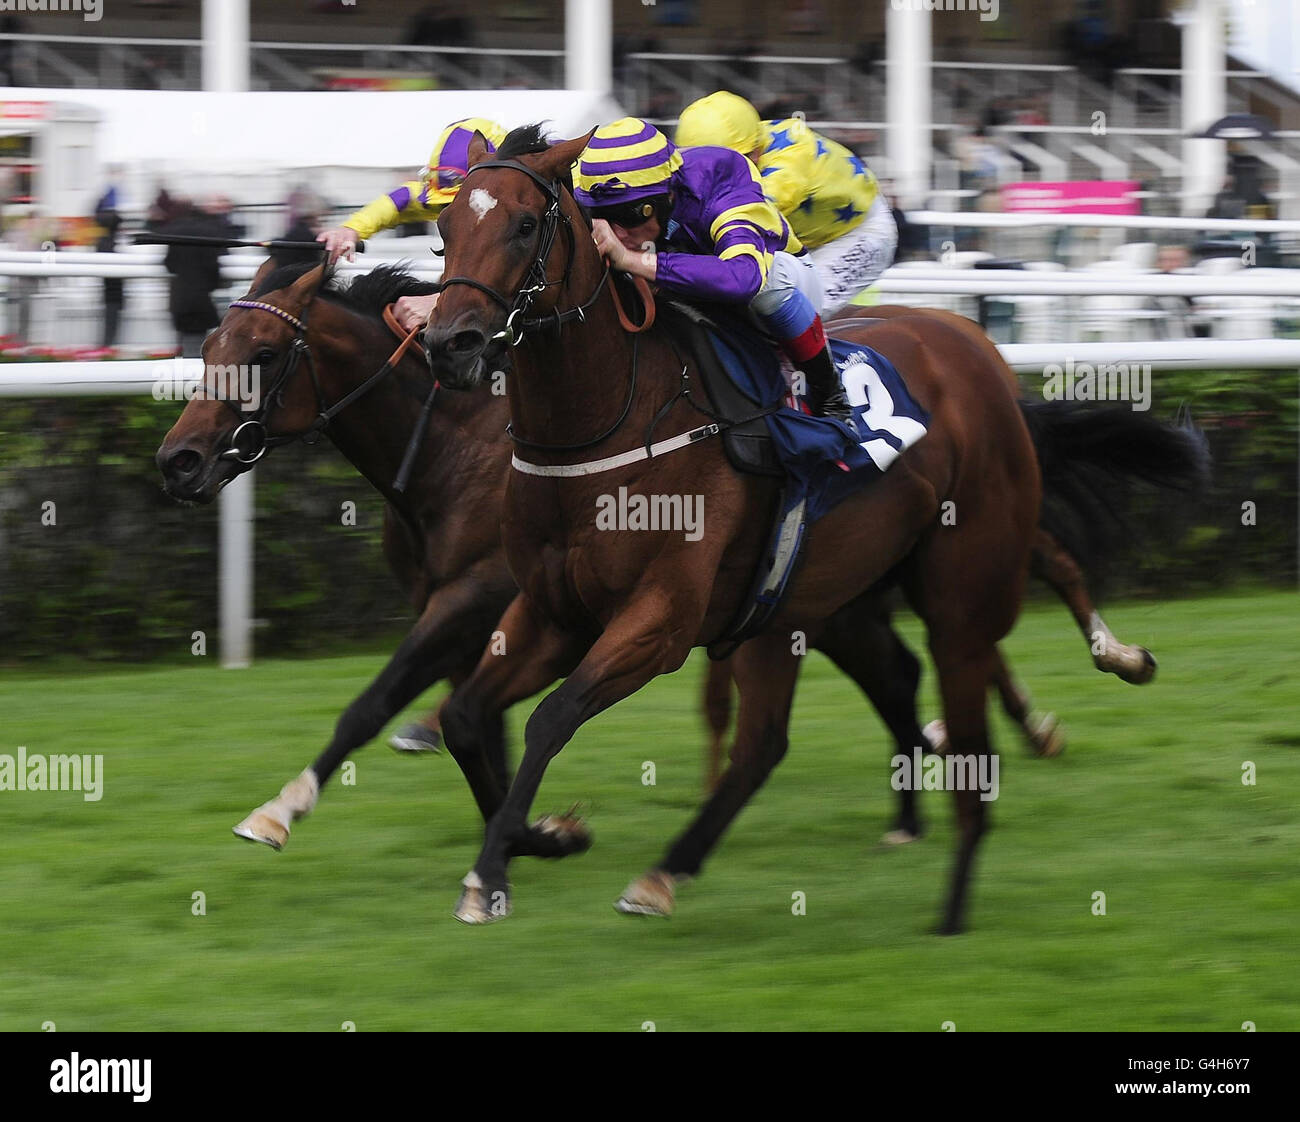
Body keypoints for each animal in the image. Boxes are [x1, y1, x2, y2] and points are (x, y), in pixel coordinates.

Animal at [421, 124, 1201, 930]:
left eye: (523, 225)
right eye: (445, 231)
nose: (450, 344)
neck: (606, 425)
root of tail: (974, 342)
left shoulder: (659, 620)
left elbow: (551, 717)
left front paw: (497, 866)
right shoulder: (553, 611)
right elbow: (465, 716)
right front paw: (537, 839)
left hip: (955, 571)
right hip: (799, 601)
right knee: (775, 736)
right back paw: (676, 869)